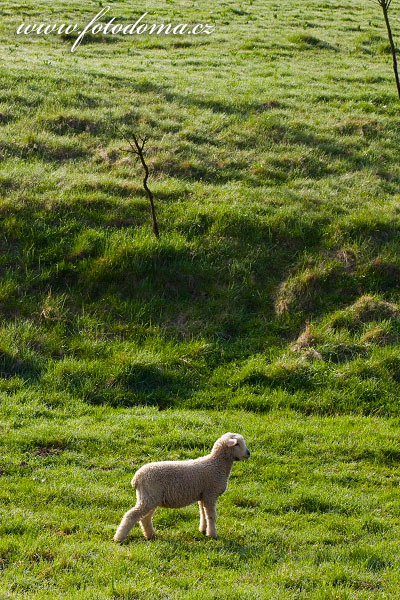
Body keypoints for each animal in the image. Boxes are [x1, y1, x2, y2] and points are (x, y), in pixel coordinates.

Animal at [113, 428, 250, 540]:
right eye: (237, 444)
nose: (248, 453)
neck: (217, 464)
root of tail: (136, 478)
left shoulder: (203, 496)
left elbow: (203, 514)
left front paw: (203, 530)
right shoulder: (210, 494)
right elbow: (211, 516)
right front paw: (212, 535)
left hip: (150, 497)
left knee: (145, 518)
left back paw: (150, 535)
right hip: (149, 496)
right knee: (131, 515)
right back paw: (119, 538)